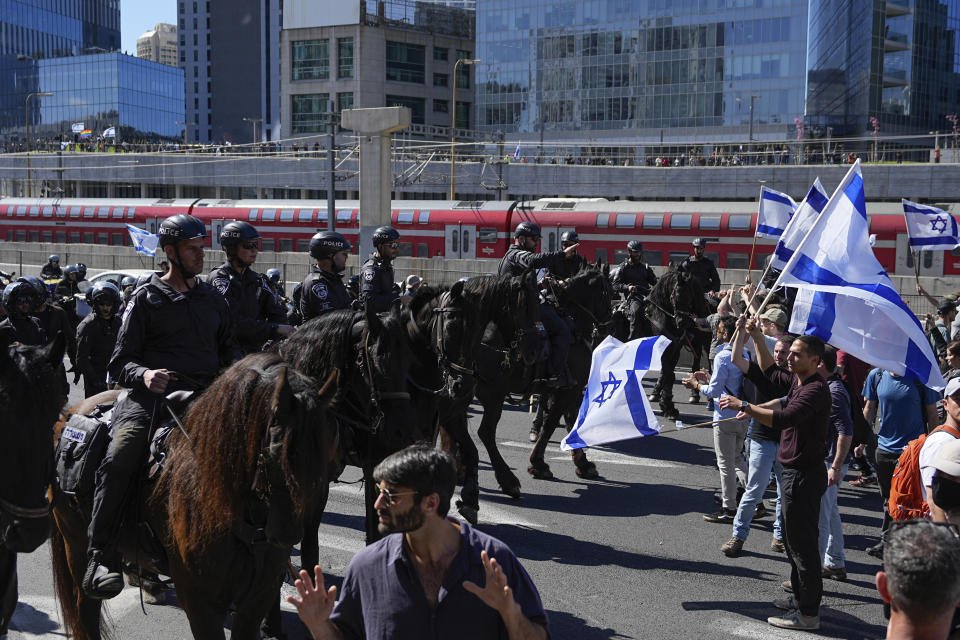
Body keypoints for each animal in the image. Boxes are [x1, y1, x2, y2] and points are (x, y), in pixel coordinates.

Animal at [51, 352, 342, 640]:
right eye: (276, 448)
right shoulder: (200, 601)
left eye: (327, 451)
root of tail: (71, 414)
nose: (288, 535)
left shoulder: (256, 599)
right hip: (75, 541)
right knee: (85, 607)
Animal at [640, 264, 708, 420]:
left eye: (690, 297)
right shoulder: (667, 349)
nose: (681, 322)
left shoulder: (675, 347)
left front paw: (667, 406)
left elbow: (668, 374)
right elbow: (668, 374)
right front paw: (668, 406)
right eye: (673, 296)